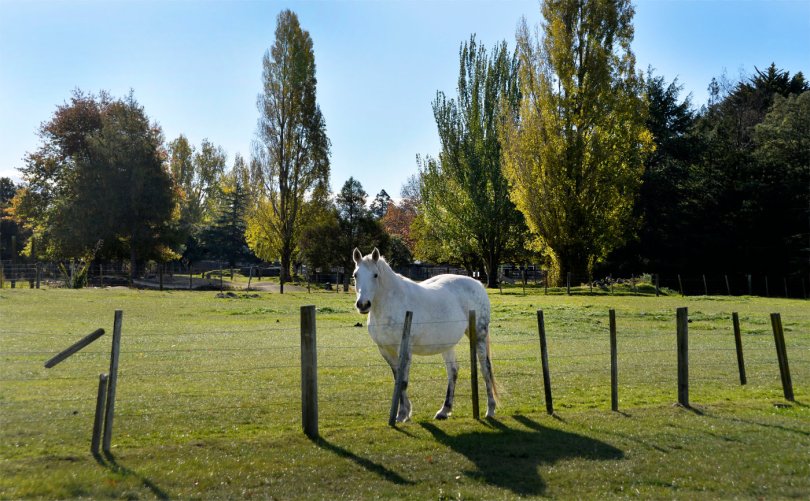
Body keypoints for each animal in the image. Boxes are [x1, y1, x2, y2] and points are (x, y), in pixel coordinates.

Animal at [352, 247, 498, 422]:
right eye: (355, 275)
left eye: (375, 275)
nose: (363, 304)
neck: (391, 303)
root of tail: (477, 284)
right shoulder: (385, 350)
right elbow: (397, 378)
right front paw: (404, 412)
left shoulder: (405, 349)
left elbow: (403, 381)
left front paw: (402, 414)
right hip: (446, 344)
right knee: (453, 371)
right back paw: (444, 410)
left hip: (479, 336)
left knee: (485, 369)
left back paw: (490, 409)